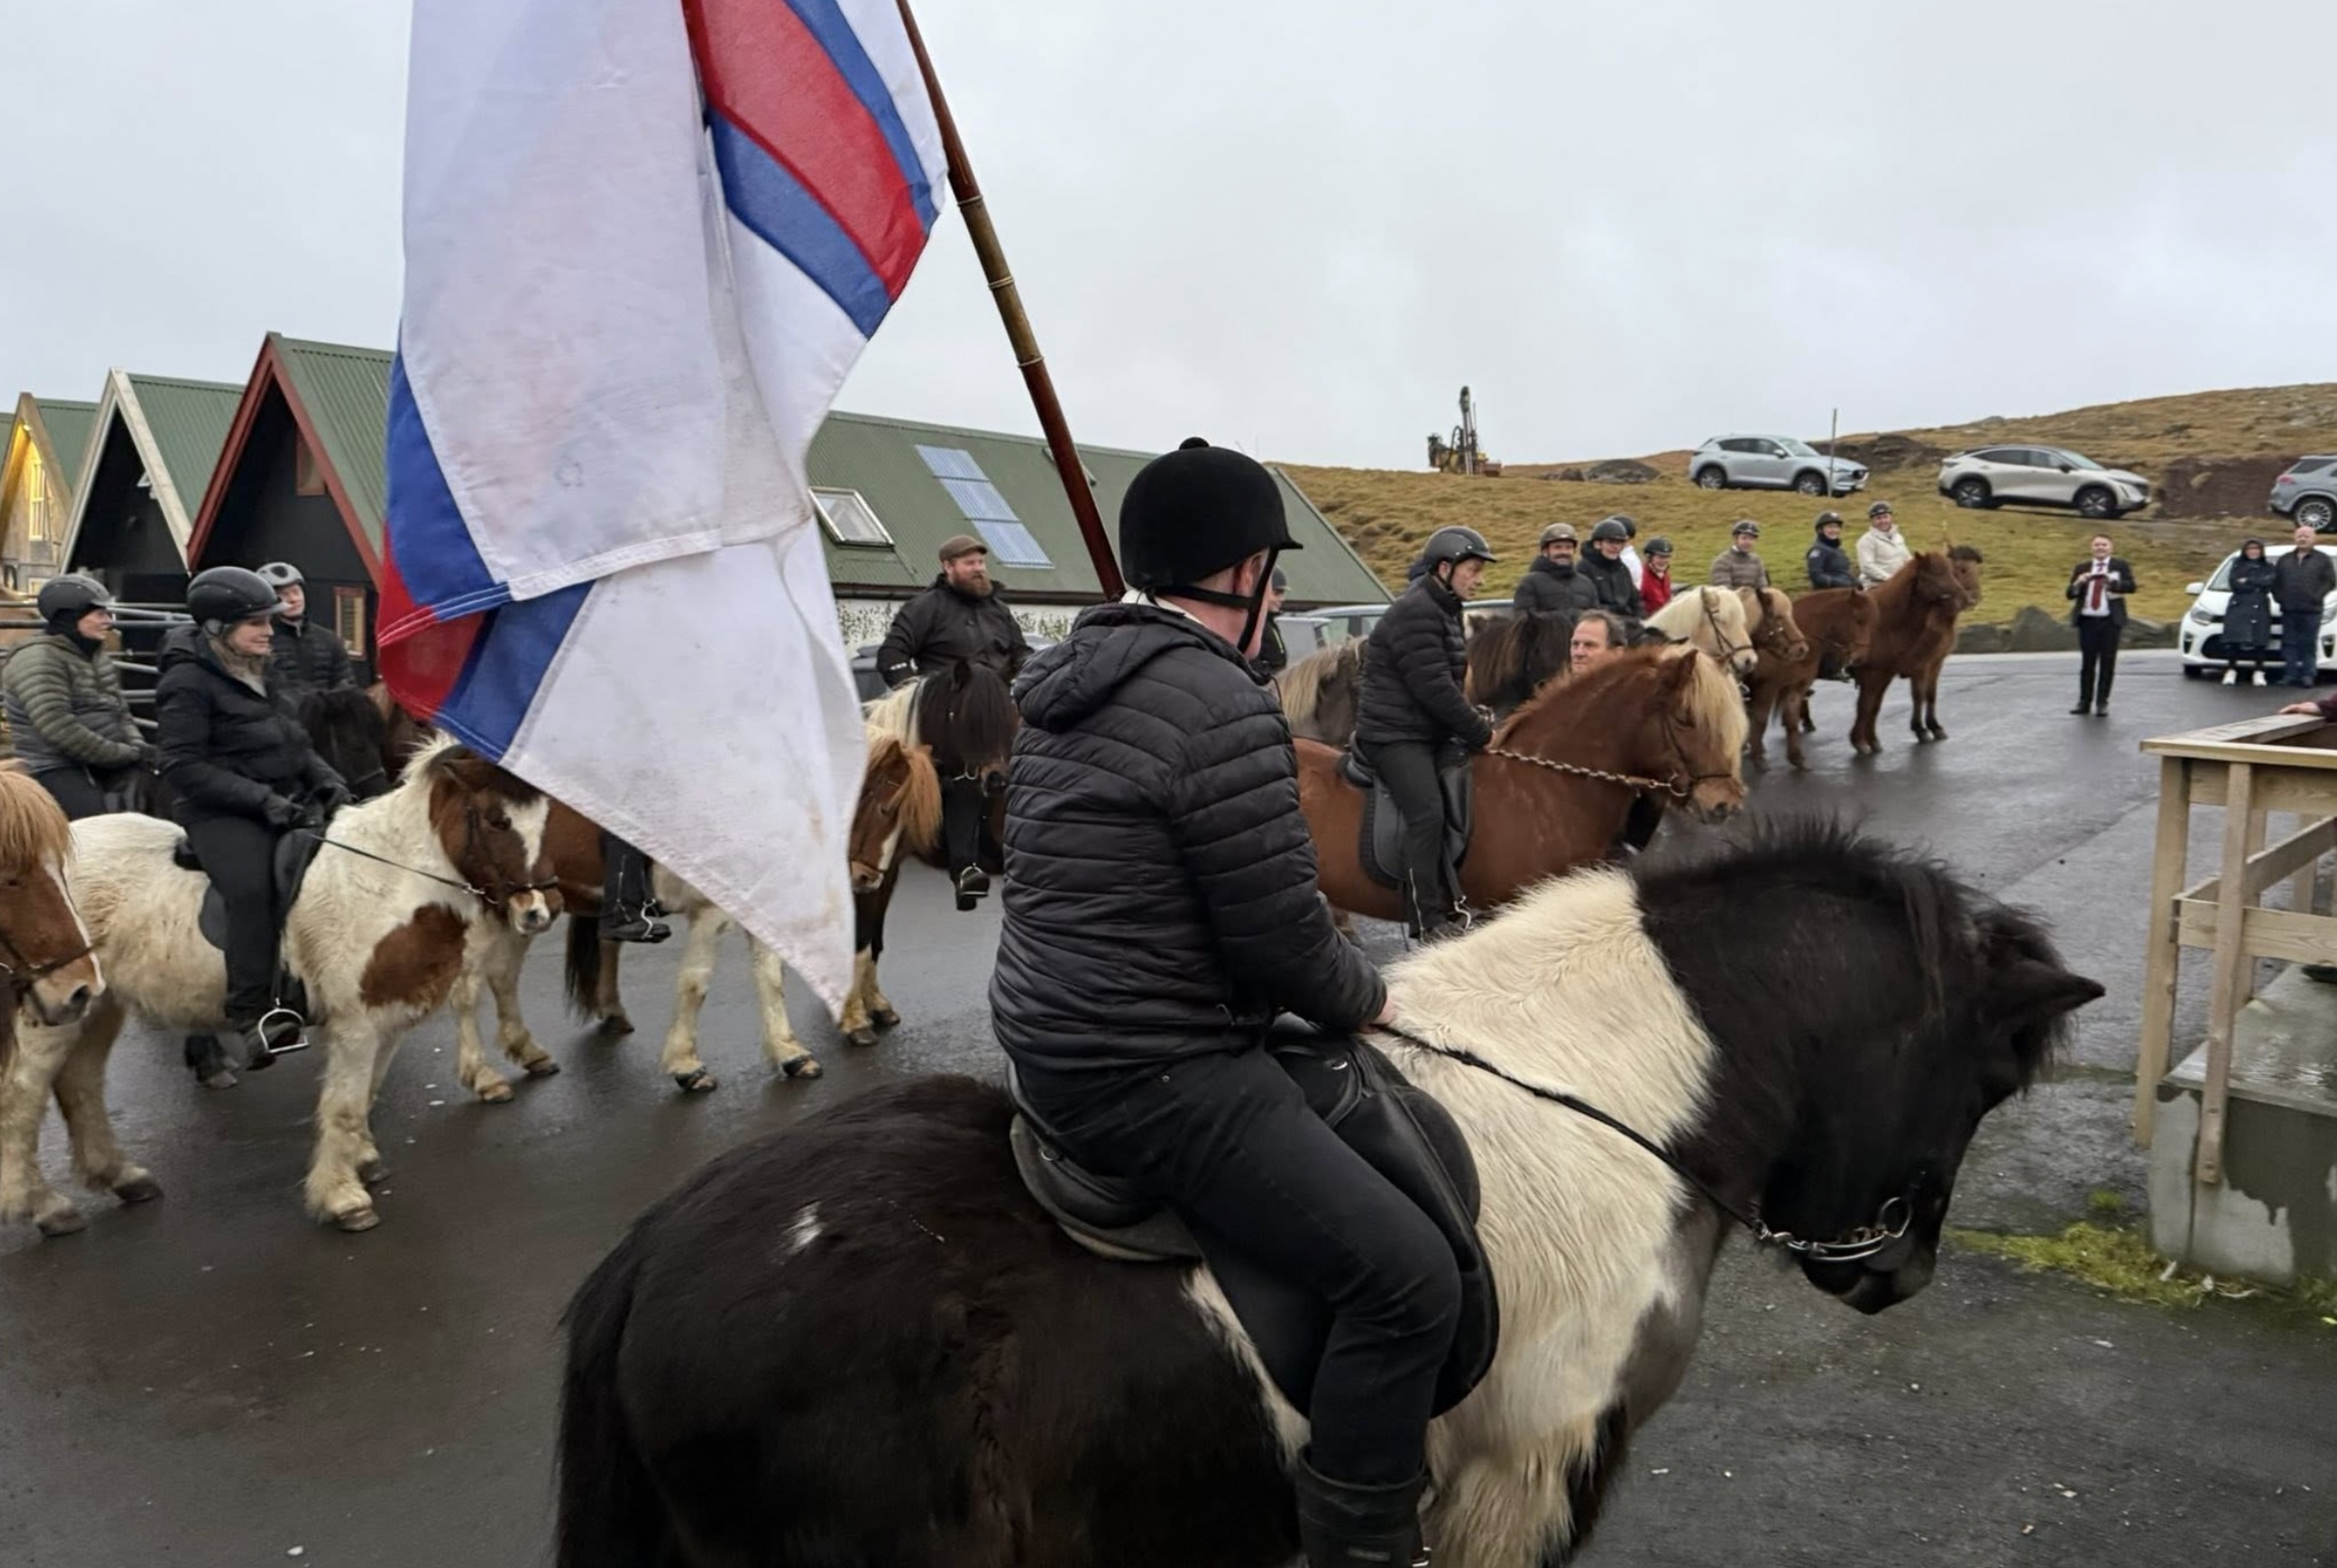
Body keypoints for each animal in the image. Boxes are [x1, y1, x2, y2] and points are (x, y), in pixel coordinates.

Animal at [0, 736, 558, 1235]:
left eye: (545, 818)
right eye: (498, 820)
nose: (539, 911)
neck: (387, 882)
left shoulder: (388, 1019)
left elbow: (365, 1096)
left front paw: (362, 1161)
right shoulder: (357, 1025)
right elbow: (345, 1104)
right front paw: (343, 1199)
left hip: (93, 1004)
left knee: (81, 1082)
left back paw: (120, 1177)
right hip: (49, 1009)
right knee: (22, 1100)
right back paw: (45, 1207)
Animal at [836, 663, 1018, 1048]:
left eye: (1008, 715)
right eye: (968, 717)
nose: (997, 780)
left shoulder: (880, 869)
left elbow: (872, 939)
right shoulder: (867, 871)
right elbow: (862, 939)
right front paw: (856, 1018)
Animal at [1748, 588, 1878, 769]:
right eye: (1858, 619)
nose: (1861, 658)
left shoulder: (1796, 687)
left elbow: (1791, 720)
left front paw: (1797, 758)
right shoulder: (1767, 688)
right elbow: (1760, 720)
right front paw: (1758, 757)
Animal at [1843, 548, 1986, 755]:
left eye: (1952, 571)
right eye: (1962, 569)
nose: (1971, 599)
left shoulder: (1934, 663)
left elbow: (1930, 694)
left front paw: (1934, 727)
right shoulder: (1918, 666)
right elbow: (1917, 696)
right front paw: (1921, 729)